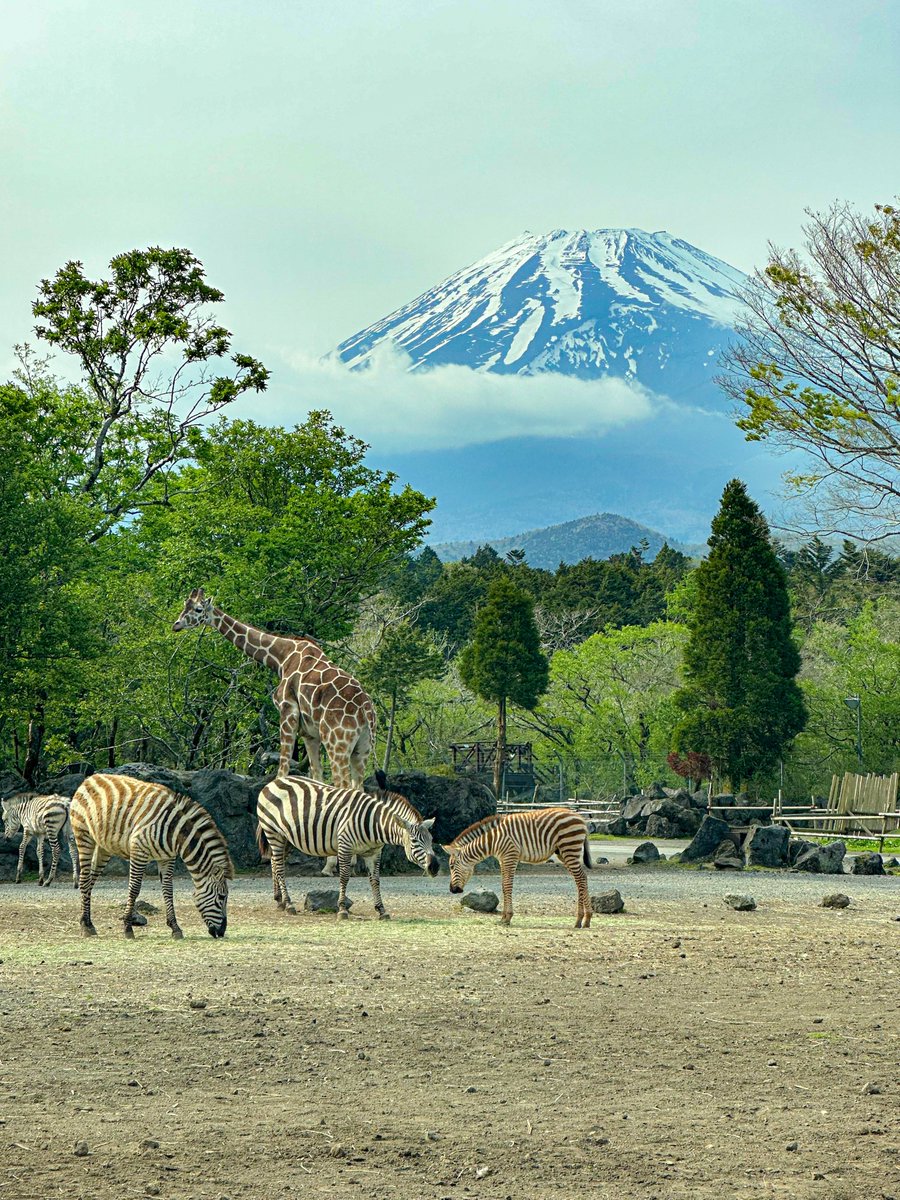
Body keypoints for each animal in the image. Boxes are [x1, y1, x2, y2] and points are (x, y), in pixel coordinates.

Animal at [70, 772, 234, 940]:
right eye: (222, 897)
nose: (221, 932)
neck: (174, 832)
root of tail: (90, 777)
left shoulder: (167, 858)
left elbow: (168, 890)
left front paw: (175, 928)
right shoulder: (139, 851)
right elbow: (134, 888)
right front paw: (128, 927)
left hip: (103, 847)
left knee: (90, 880)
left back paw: (87, 923)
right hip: (83, 835)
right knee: (84, 879)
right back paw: (85, 926)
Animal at [174, 590, 374, 787]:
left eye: (199, 609)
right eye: (185, 605)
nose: (176, 625)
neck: (282, 657)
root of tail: (365, 710)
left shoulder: (288, 711)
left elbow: (282, 770)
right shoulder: (309, 733)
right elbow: (316, 777)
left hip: (337, 743)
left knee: (343, 785)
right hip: (362, 749)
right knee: (357, 786)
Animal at [255, 768, 439, 916]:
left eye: (431, 840)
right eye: (414, 840)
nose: (435, 867)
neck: (373, 823)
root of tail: (273, 782)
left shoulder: (373, 853)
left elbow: (375, 880)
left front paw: (381, 910)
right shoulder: (345, 846)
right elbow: (344, 877)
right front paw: (342, 909)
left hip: (285, 837)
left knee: (274, 863)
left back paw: (279, 901)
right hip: (273, 832)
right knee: (280, 868)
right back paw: (288, 904)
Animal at [448, 806, 595, 926]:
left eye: (451, 866)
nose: (452, 890)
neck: (492, 841)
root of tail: (580, 818)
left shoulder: (510, 856)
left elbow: (508, 886)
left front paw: (508, 918)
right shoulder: (502, 859)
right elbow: (503, 886)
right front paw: (503, 918)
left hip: (569, 848)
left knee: (581, 879)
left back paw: (583, 919)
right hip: (563, 853)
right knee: (581, 878)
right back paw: (583, 920)